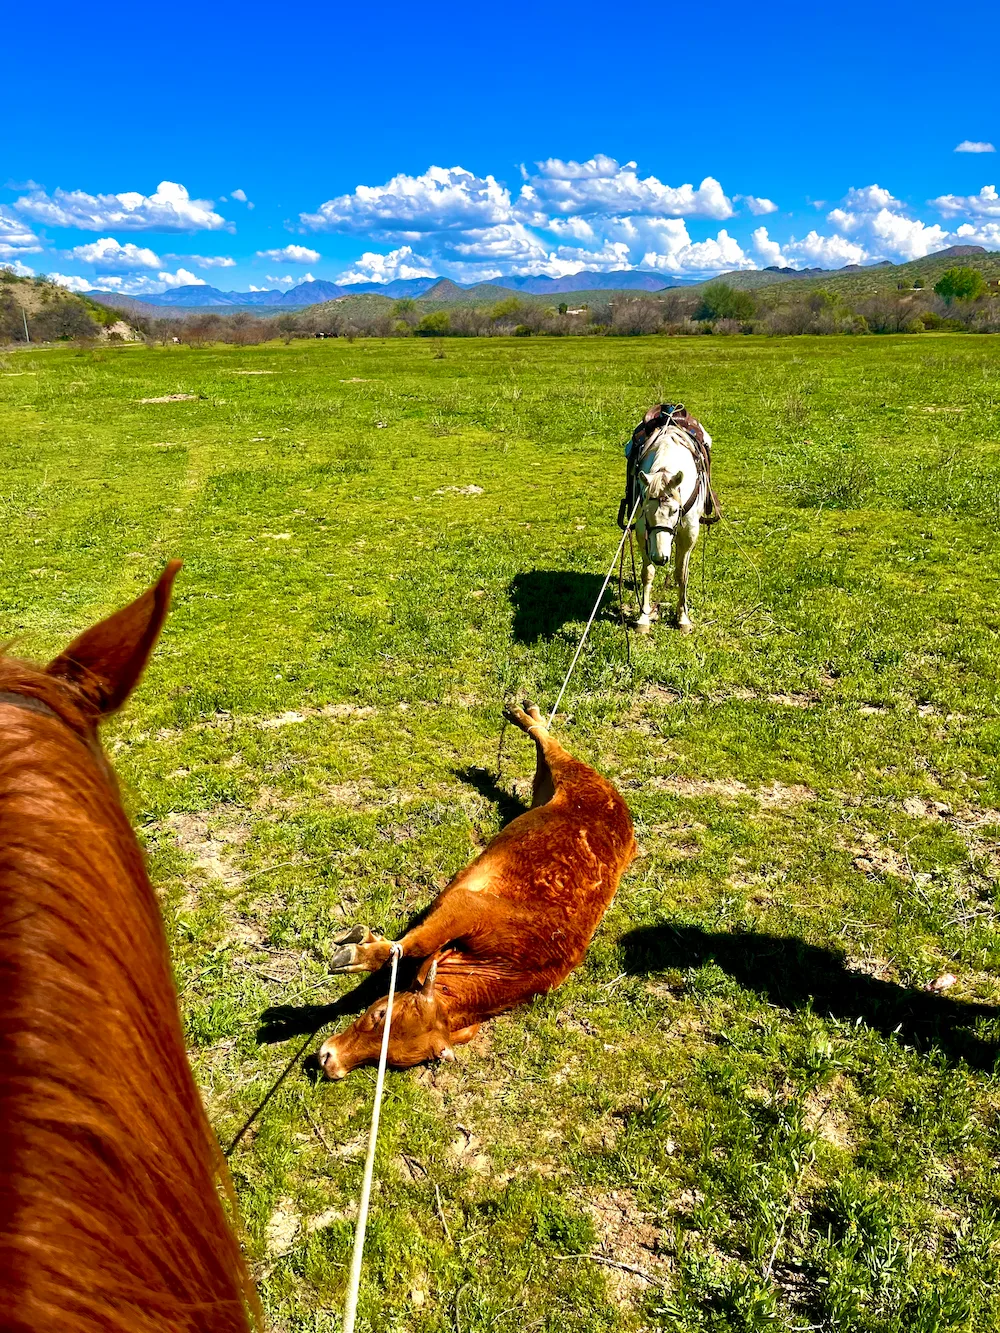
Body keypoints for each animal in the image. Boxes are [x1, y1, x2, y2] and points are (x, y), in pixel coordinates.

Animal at [317, 701, 635, 1078]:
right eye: (377, 1013)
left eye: (391, 1061)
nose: (329, 1061)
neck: (509, 965)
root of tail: (619, 806)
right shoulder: (464, 905)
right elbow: (413, 944)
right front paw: (357, 951)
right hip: (567, 772)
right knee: (548, 742)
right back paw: (523, 713)